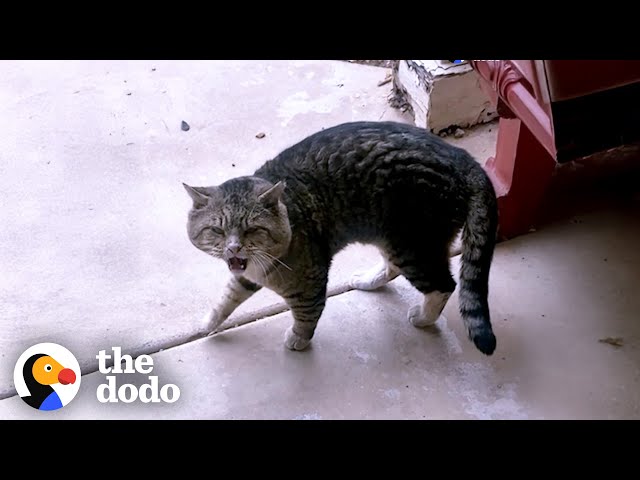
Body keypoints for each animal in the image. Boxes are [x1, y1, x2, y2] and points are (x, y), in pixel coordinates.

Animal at [182, 122, 498, 354]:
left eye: (251, 229)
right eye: (217, 230)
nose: (234, 247)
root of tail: (461, 156)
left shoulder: (309, 280)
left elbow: (307, 313)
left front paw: (298, 339)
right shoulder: (246, 275)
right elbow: (228, 296)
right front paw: (210, 321)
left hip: (414, 244)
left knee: (444, 285)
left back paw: (423, 317)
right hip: (393, 237)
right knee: (393, 267)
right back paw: (368, 280)